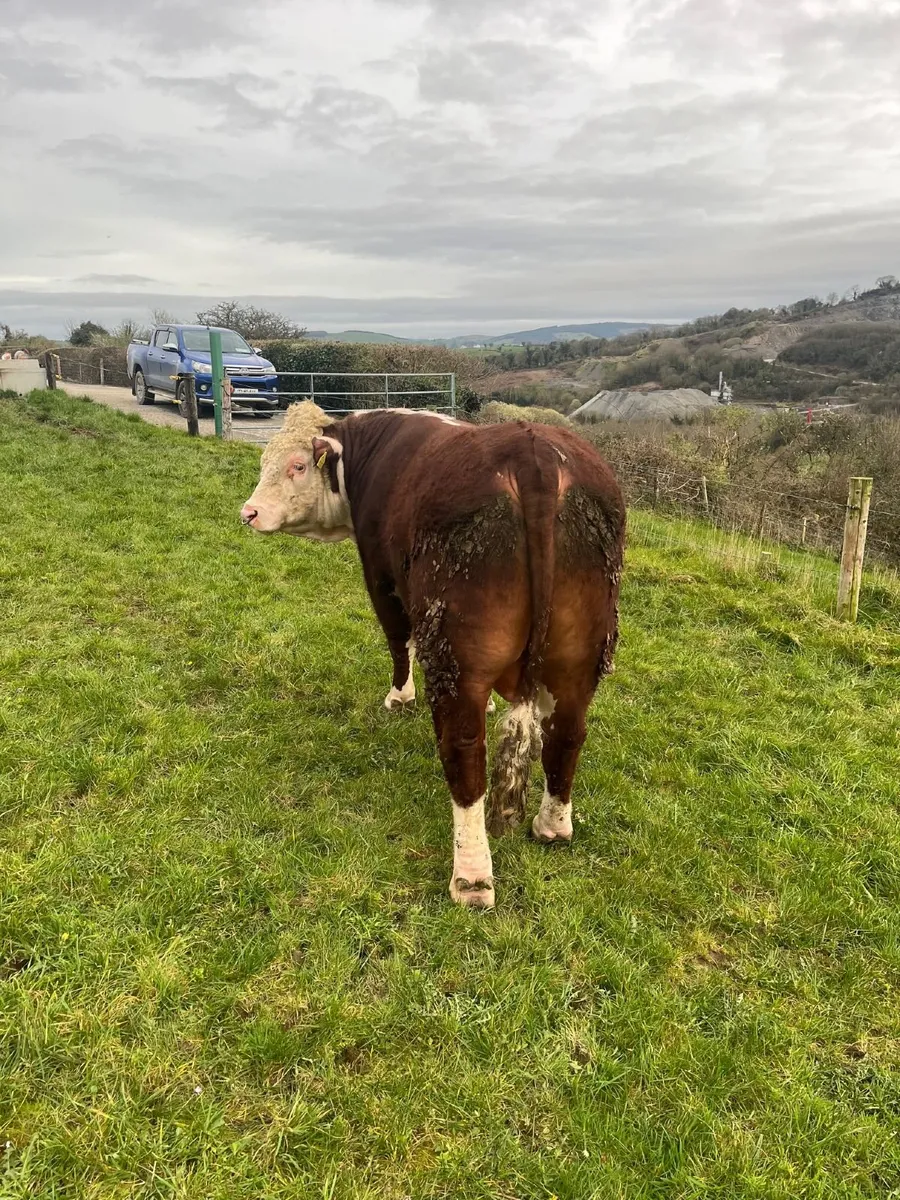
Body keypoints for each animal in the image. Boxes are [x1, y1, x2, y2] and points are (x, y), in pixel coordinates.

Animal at [241, 402, 625, 908]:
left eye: (298, 466)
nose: (248, 512)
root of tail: (534, 453)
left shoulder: (381, 577)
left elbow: (397, 641)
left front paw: (399, 698)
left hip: (455, 650)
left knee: (466, 754)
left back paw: (472, 878)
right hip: (580, 653)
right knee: (567, 732)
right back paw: (552, 826)